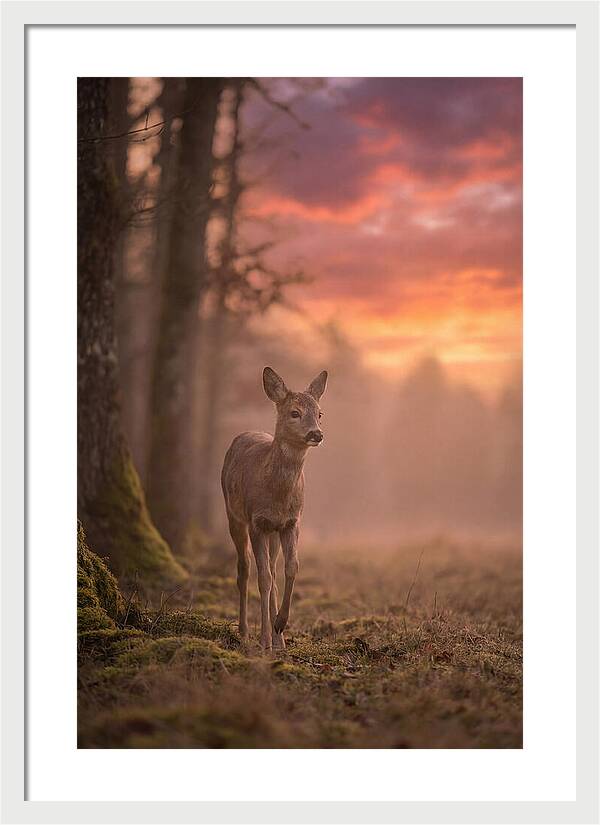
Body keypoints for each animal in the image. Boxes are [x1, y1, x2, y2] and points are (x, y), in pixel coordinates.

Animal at [221, 366, 328, 651]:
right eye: (295, 412)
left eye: (320, 413)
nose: (316, 434)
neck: (278, 497)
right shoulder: (257, 522)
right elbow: (264, 579)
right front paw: (264, 640)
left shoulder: (292, 522)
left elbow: (291, 568)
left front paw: (280, 624)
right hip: (234, 515)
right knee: (245, 569)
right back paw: (245, 631)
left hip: (273, 533)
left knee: (271, 566)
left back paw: (279, 639)